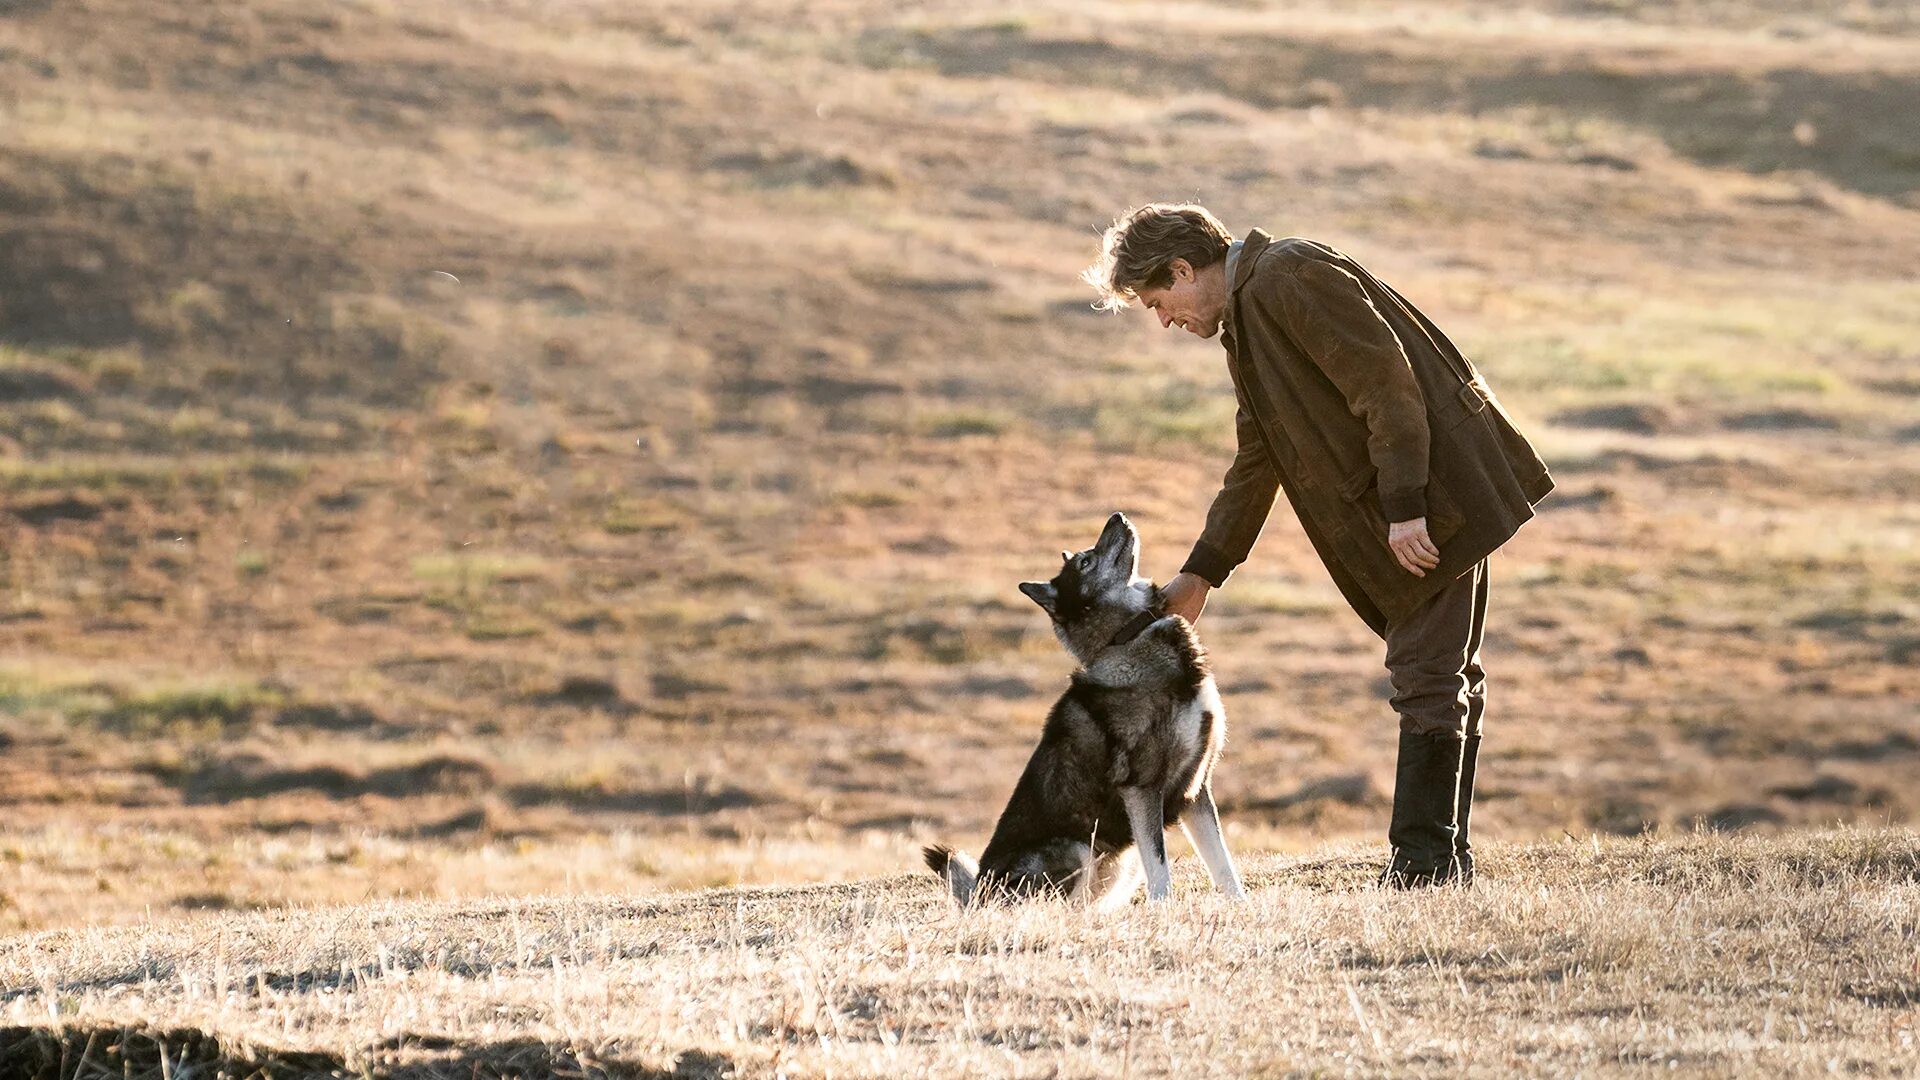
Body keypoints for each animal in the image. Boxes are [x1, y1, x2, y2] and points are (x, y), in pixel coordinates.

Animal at [925, 507, 1251, 903]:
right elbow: (1160, 869)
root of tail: (977, 894)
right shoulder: (1142, 789)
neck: (1125, 637)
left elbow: (1223, 864)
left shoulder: (1197, 791)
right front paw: (1165, 909)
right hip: (1079, 848)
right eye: (1085, 561)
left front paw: (1241, 907)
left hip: (1121, 864)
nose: (1118, 515)